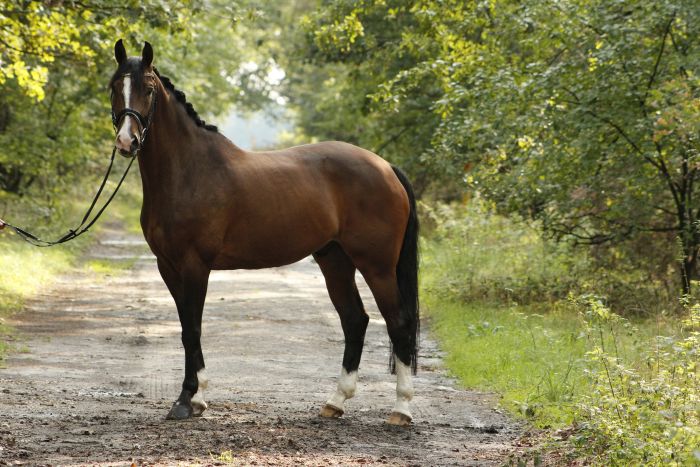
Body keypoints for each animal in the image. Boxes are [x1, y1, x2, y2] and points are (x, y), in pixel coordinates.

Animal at [109, 40, 419, 426]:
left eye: (148, 89)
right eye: (114, 87)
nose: (127, 141)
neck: (190, 171)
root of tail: (386, 167)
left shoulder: (195, 265)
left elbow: (192, 329)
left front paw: (186, 400)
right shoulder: (167, 267)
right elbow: (185, 328)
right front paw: (197, 399)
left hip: (377, 266)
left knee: (398, 323)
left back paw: (401, 409)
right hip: (335, 260)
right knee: (355, 320)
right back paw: (335, 402)